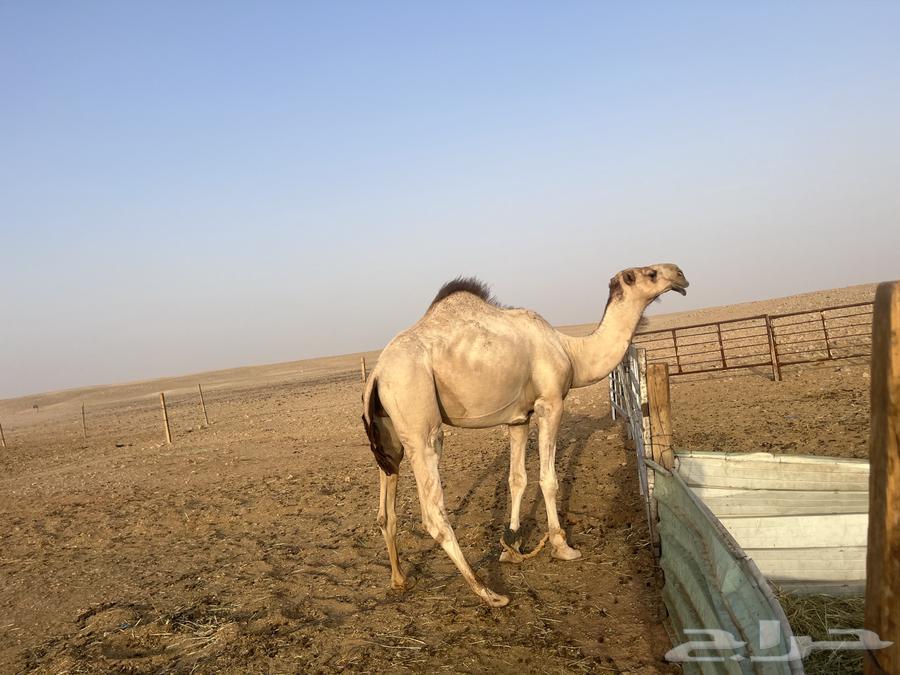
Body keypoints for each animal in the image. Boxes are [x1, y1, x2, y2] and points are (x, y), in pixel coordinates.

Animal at [362, 264, 688, 607]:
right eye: (650, 274)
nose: (680, 274)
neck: (571, 352)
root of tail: (377, 373)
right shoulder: (550, 403)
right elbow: (548, 479)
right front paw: (562, 546)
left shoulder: (518, 418)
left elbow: (517, 479)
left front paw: (512, 547)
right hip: (419, 417)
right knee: (434, 511)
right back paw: (489, 592)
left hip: (389, 433)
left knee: (386, 509)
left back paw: (399, 580)